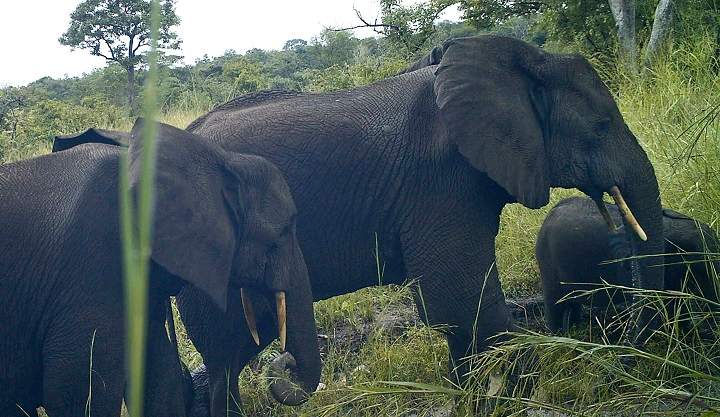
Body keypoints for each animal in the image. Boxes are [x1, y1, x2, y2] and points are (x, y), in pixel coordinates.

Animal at [54, 35, 667, 416]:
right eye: (600, 125)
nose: (640, 346)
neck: (516, 60)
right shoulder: (441, 182)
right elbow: (458, 300)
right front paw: (505, 400)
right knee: (228, 354)